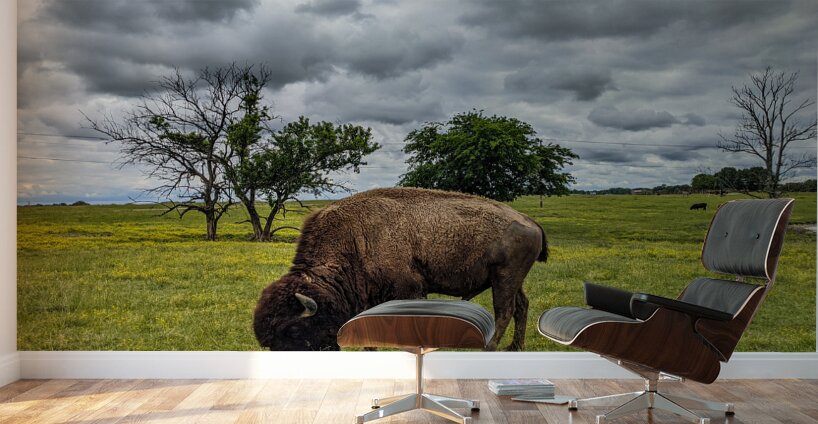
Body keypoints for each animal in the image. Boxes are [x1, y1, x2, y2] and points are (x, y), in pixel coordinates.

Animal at [253, 187, 548, 351]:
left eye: (292, 331)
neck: (354, 239)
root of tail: (529, 220)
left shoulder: (410, 289)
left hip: (504, 277)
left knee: (504, 310)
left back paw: (491, 348)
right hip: (512, 280)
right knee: (521, 306)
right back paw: (515, 347)